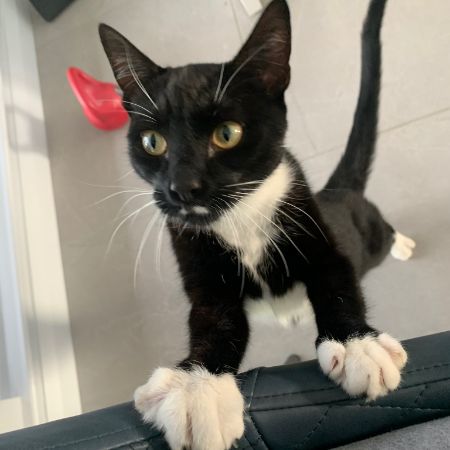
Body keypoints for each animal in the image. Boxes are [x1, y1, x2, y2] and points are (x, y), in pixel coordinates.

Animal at [99, 0, 414, 448]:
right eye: (152, 142)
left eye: (227, 133)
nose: (182, 188)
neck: (238, 217)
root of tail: (338, 192)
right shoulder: (200, 270)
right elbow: (215, 322)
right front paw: (197, 390)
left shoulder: (318, 237)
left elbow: (337, 283)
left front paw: (358, 346)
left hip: (366, 235)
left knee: (381, 234)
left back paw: (402, 244)